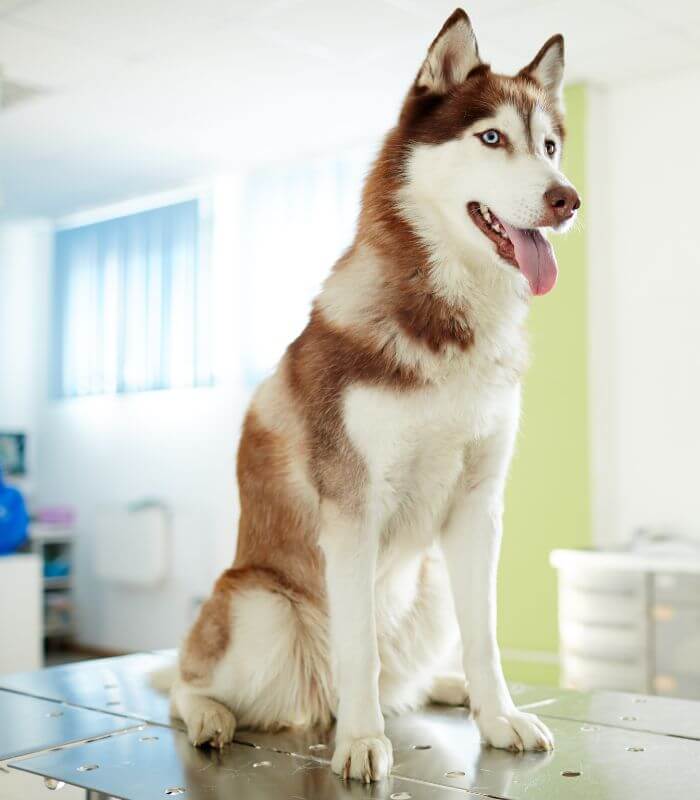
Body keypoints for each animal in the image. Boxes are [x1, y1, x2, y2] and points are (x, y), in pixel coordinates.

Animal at [165, 6, 580, 780]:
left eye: (549, 146)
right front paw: (360, 743)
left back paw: (448, 688)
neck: (451, 325)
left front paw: (499, 715)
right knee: (185, 680)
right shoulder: (352, 512)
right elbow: (356, 649)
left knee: (403, 678)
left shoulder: (479, 508)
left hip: (432, 587)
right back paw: (214, 716)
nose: (567, 199)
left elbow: (487, 639)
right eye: (491, 137)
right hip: (262, 610)